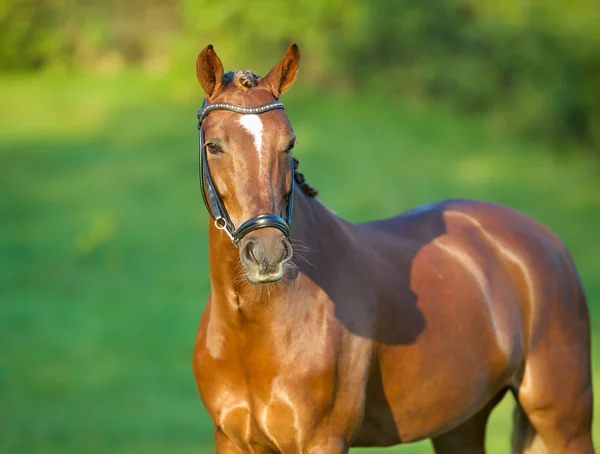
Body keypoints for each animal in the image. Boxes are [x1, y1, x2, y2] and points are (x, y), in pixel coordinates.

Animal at [191, 43, 592, 454]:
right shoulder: (230, 440)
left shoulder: (324, 440)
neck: (254, 324)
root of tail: (544, 239)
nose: (267, 253)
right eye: (213, 146)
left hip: (564, 422)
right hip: (459, 424)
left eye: (289, 144)